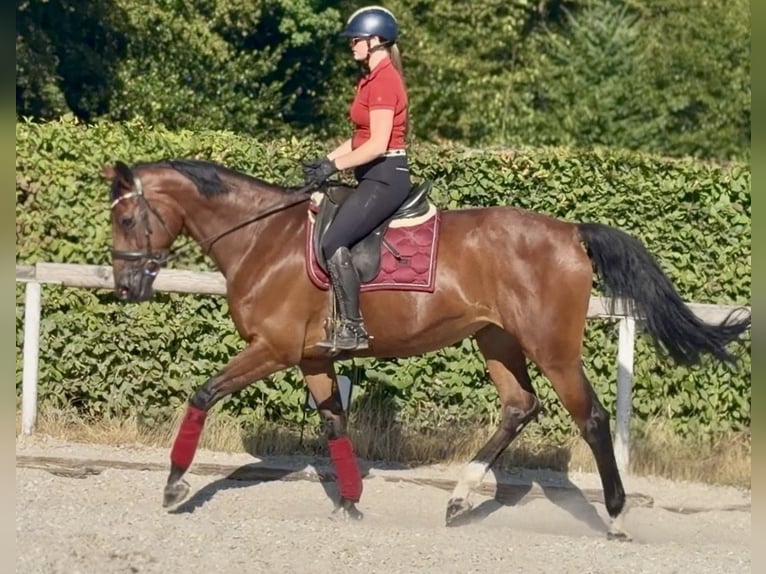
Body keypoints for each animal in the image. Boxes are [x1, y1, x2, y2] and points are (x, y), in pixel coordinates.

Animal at [103, 157, 750, 539]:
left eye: (128, 219)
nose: (126, 285)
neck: (264, 238)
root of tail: (571, 232)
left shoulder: (275, 349)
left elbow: (203, 393)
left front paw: (175, 485)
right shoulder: (313, 358)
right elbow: (334, 424)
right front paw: (351, 501)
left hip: (551, 346)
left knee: (588, 417)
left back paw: (614, 516)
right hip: (496, 338)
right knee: (520, 406)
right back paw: (460, 500)